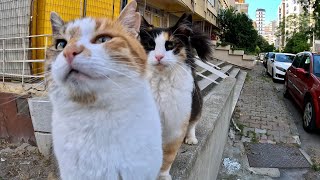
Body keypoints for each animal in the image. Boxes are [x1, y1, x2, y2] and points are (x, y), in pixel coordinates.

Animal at [139, 13, 212, 179]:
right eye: (151, 45)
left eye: (170, 45)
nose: (159, 56)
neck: (161, 82)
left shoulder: (176, 125)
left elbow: (168, 155)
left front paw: (163, 175)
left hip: (194, 104)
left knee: (193, 123)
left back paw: (191, 138)